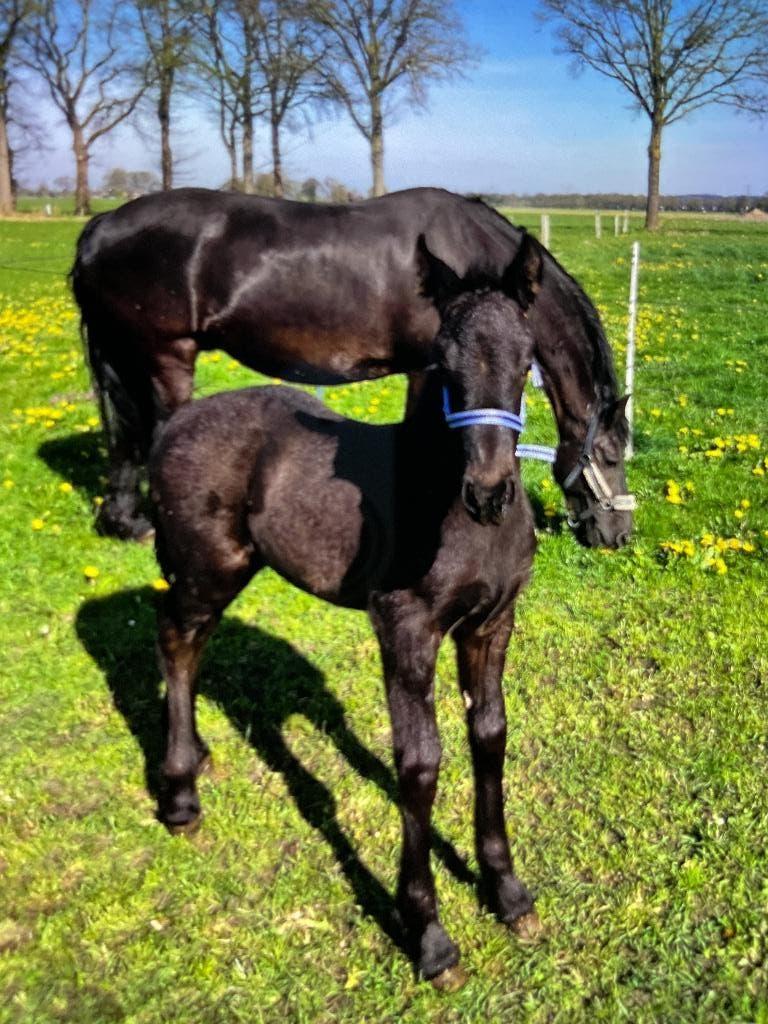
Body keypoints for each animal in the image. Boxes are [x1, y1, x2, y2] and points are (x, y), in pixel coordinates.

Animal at [72, 187, 634, 547]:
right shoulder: (429, 369)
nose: (619, 537)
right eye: (610, 456)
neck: (466, 258)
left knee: (126, 436)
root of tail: (100, 226)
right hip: (166, 355)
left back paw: (123, 522)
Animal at [149, 238, 544, 989]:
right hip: (207, 566)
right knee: (177, 642)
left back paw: (199, 759)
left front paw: (508, 892)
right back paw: (180, 796)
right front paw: (430, 936)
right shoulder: (405, 628)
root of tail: (174, 422)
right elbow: (420, 763)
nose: (488, 492)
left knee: (193, 644)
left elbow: (491, 736)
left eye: (528, 358)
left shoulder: (492, 626)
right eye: (440, 362)